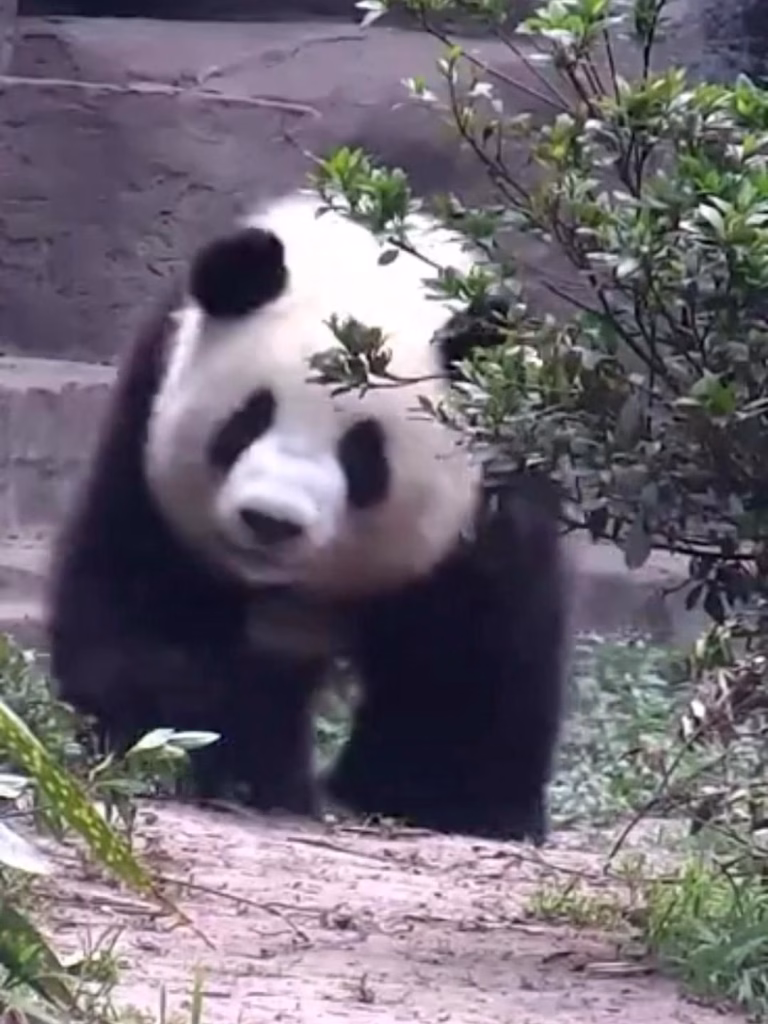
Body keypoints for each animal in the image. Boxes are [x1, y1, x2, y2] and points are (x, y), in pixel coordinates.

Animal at [46, 190, 570, 845]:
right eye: (248, 418)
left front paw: (451, 803)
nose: (270, 520)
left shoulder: (494, 497)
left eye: (364, 452)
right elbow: (144, 618)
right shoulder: (146, 427)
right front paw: (235, 764)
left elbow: (469, 666)